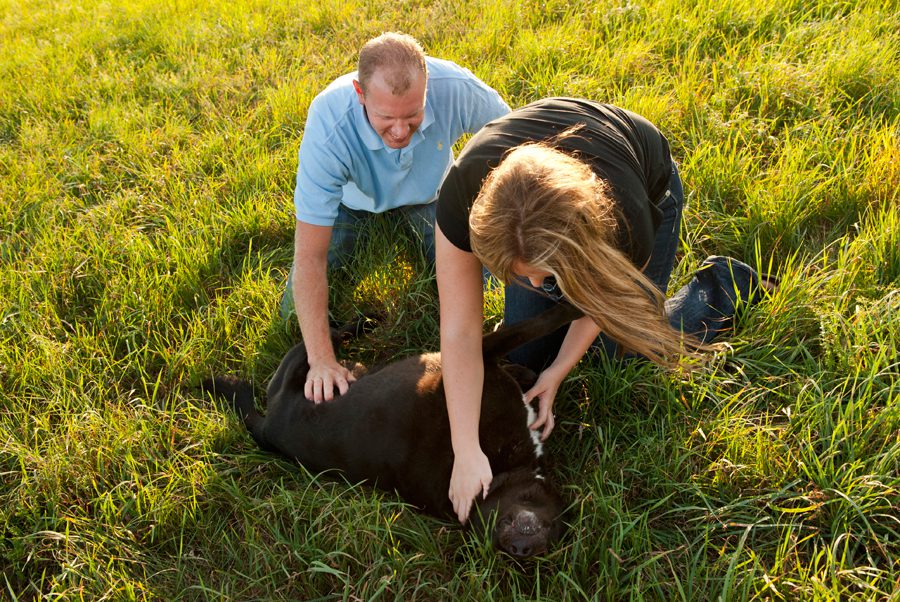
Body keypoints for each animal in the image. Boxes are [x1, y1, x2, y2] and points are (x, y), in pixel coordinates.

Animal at [203, 302, 580, 556]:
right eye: (495, 524)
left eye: (548, 545)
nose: (519, 549)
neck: (503, 468)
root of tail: (269, 427)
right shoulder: (476, 354)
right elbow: (536, 324)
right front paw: (575, 305)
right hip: (303, 362)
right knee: (328, 335)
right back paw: (360, 322)